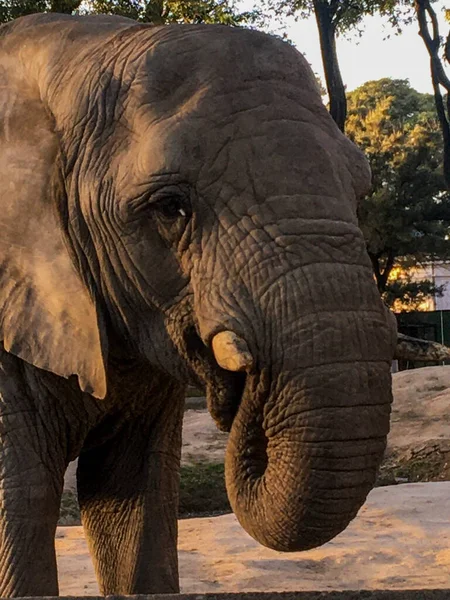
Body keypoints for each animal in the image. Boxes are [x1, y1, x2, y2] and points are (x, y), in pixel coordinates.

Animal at [0, 11, 398, 596]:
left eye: (360, 189)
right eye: (171, 207)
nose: (247, 389)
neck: (76, 53)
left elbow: (132, 497)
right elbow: (20, 498)